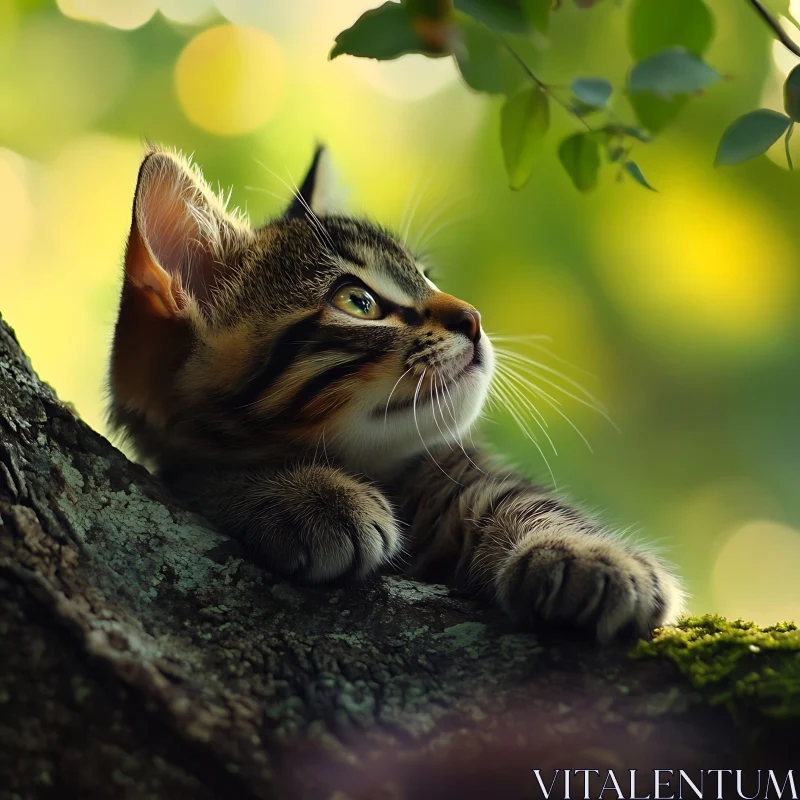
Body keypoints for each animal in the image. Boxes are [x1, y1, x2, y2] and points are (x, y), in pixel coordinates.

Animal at [109, 145, 684, 644]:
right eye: (358, 302)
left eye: (427, 276)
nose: (473, 318)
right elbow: (202, 473)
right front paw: (309, 494)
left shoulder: (465, 470)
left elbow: (525, 498)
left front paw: (584, 553)